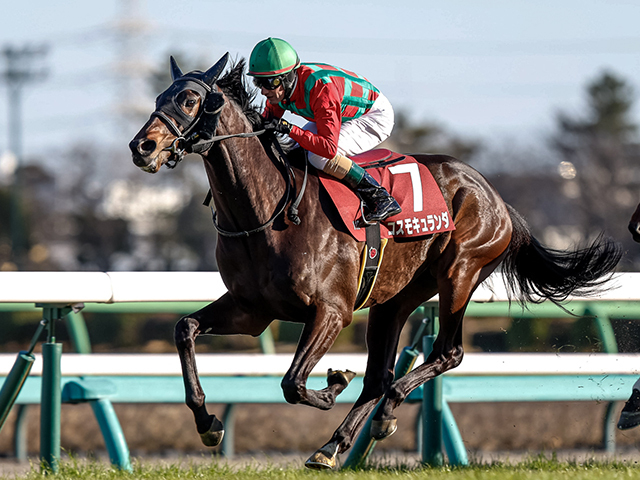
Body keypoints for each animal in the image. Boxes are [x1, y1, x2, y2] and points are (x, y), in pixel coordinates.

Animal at [127, 53, 624, 468]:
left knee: (445, 353)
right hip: (393, 299)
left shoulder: (331, 310)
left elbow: (293, 383)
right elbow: (185, 329)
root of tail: (496, 196)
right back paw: (333, 446)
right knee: (379, 376)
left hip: (459, 272)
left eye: (190, 98)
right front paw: (208, 423)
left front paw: (332, 383)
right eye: (158, 99)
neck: (266, 212)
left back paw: (383, 413)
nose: (142, 147)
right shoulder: (252, 309)